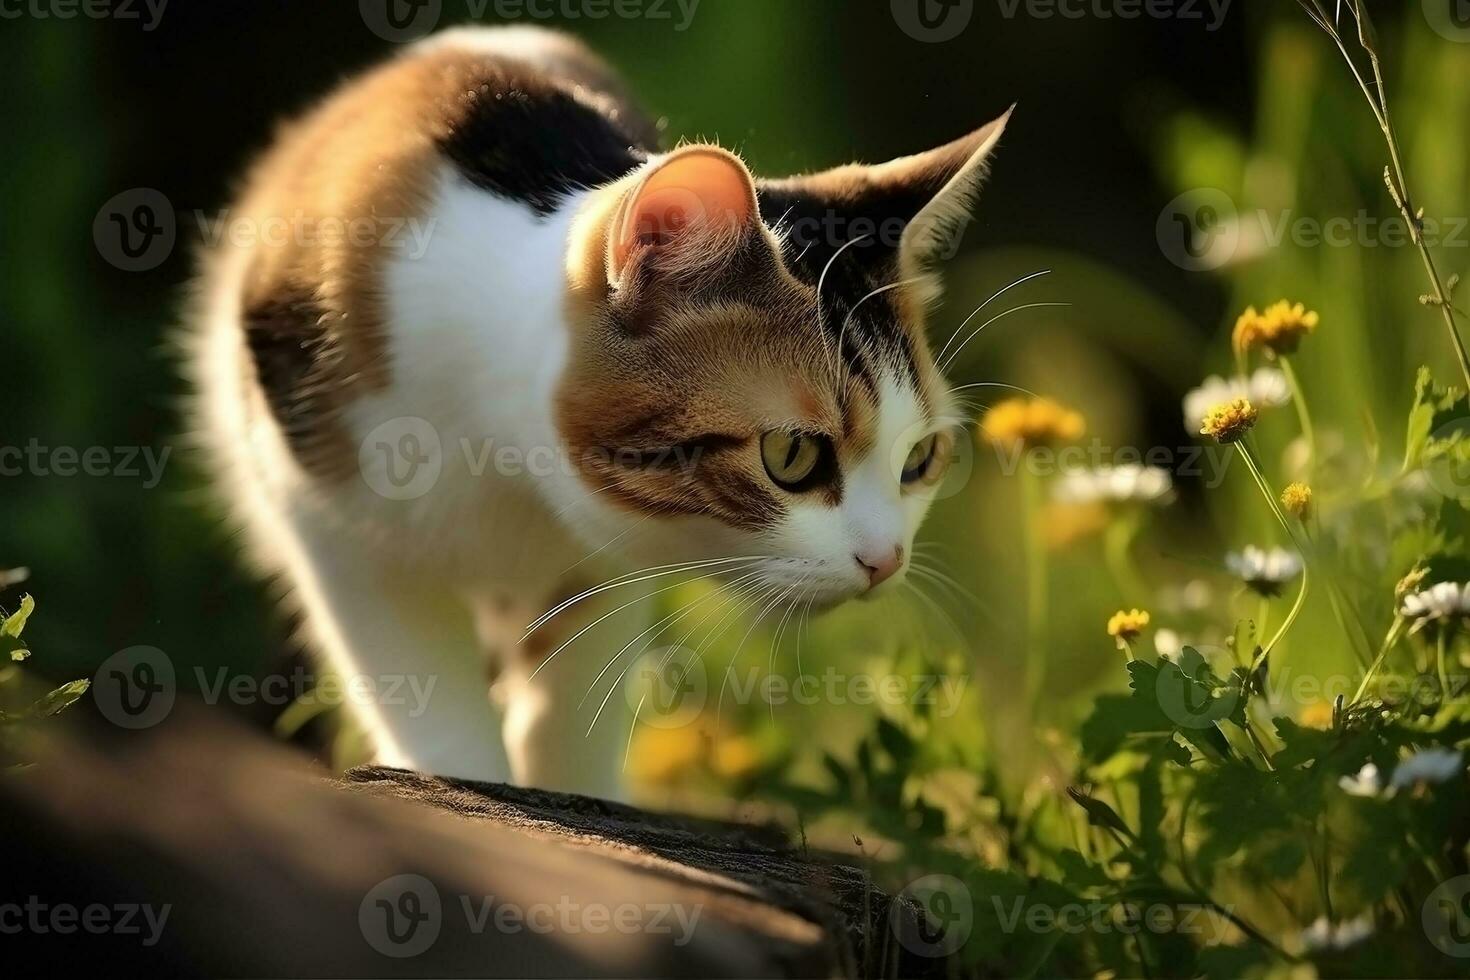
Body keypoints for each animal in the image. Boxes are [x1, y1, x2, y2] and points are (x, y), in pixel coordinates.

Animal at [189, 24, 1005, 805]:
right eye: (792, 457)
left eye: (920, 460)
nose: (885, 560)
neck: (507, 467)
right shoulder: (335, 526)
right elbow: (424, 691)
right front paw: (470, 781)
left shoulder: (610, 563)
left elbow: (573, 703)